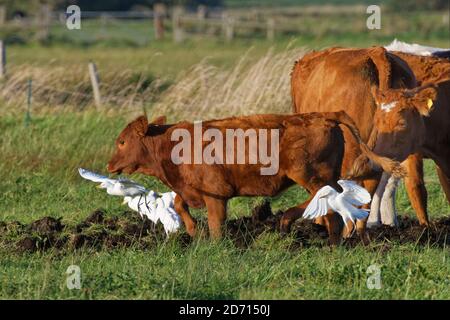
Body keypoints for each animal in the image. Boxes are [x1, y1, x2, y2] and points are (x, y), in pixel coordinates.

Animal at [108, 111, 400, 244]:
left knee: (331, 207)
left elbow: (216, 224)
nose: (109, 165)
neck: (174, 145)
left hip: (310, 176)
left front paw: (215, 245)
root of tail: (322, 116)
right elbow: (180, 204)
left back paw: (329, 241)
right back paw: (289, 222)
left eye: (122, 141)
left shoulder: (216, 195)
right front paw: (192, 231)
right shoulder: (192, 190)